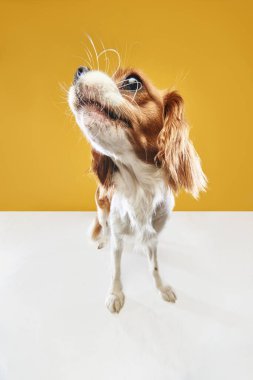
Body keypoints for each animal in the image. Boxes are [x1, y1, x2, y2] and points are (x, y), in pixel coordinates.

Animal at [68, 65, 207, 314]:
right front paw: (115, 295)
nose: (80, 70)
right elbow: (116, 269)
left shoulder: (153, 237)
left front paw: (162, 288)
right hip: (102, 210)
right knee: (104, 227)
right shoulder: (117, 236)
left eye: (132, 83)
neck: (140, 188)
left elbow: (155, 266)